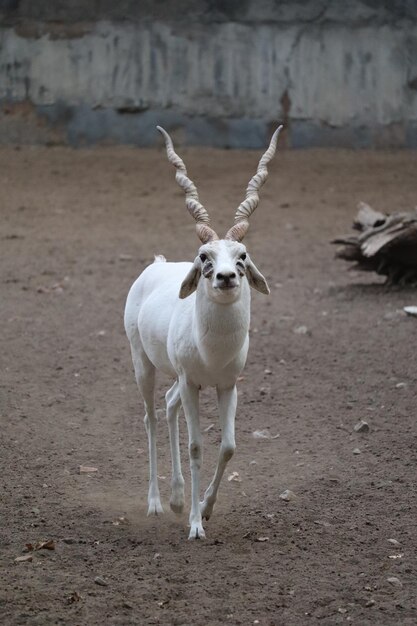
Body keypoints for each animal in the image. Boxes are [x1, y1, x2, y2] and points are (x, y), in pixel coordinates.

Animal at [122, 125, 280, 536]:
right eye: (204, 257)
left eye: (242, 255)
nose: (225, 277)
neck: (212, 350)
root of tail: (157, 264)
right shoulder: (194, 383)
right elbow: (197, 447)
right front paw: (195, 525)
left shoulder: (227, 385)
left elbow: (227, 446)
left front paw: (205, 508)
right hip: (144, 365)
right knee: (150, 416)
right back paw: (157, 503)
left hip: (178, 379)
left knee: (168, 404)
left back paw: (177, 498)